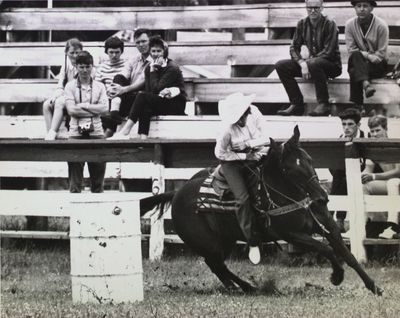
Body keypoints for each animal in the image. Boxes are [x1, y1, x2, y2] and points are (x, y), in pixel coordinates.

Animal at [141, 126, 384, 296]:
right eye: (288, 169)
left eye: (309, 159)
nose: (321, 198)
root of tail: (176, 194)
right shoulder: (292, 234)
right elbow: (325, 248)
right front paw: (336, 276)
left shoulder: (327, 225)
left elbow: (347, 254)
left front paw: (374, 287)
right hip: (209, 243)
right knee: (216, 264)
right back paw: (246, 287)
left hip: (225, 239)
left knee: (217, 266)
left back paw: (244, 287)